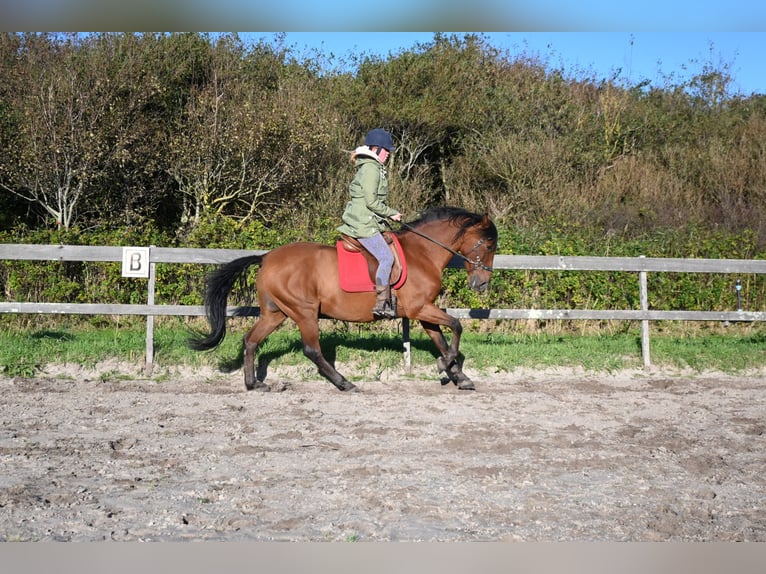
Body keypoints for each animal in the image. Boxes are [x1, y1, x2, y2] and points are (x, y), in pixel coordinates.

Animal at [190, 206, 500, 392]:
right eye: (488, 244)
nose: (482, 283)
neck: (423, 253)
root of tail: (266, 257)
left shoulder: (423, 312)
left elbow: (442, 339)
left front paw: (458, 375)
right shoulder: (420, 308)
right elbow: (456, 327)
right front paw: (444, 367)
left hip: (275, 313)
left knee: (251, 340)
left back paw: (253, 383)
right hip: (305, 312)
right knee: (312, 350)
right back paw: (344, 383)